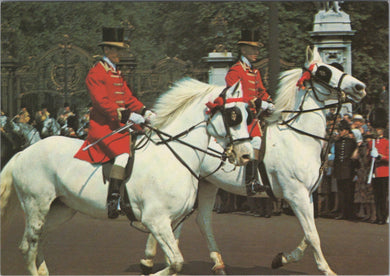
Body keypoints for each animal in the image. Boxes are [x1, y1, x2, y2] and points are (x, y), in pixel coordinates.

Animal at [0, 78, 254, 276]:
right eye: (233, 115)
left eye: (247, 115)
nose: (246, 155)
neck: (173, 156)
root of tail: (23, 152)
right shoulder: (156, 220)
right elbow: (175, 262)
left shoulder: (172, 221)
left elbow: (173, 262)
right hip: (36, 206)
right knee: (28, 246)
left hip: (61, 210)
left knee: (37, 242)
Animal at [139, 46, 366, 274]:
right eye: (324, 72)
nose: (360, 87)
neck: (299, 138)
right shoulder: (296, 194)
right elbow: (312, 236)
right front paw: (326, 269)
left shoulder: (307, 195)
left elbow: (308, 235)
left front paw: (282, 259)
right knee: (174, 218)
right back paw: (152, 258)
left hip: (207, 184)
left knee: (197, 220)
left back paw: (212, 262)